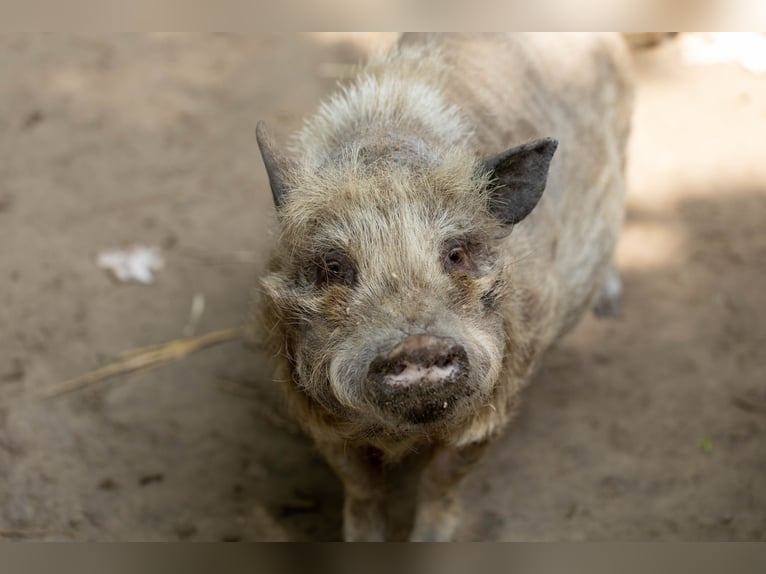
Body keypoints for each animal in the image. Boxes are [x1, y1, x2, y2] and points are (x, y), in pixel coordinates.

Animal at [255, 33, 632, 544]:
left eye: (455, 254)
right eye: (334, 267)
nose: (418, 342)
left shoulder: (502, 393)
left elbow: (443, 479)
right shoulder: (312, 412)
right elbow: (359, 483)